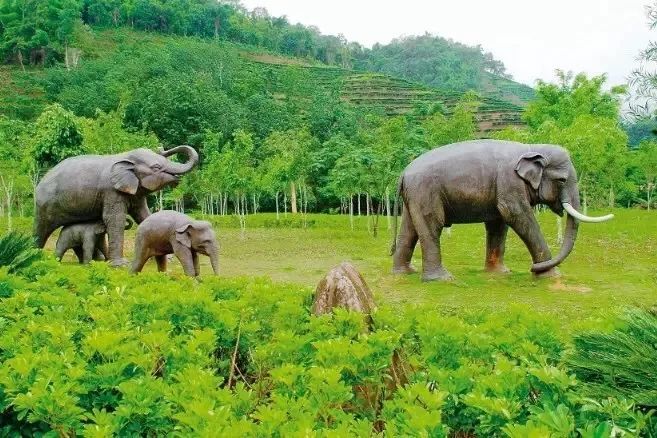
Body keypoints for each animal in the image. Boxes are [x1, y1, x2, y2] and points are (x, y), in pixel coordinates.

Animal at [390, 140, 608, 284]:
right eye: (562, 180)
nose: (532, 268)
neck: (530, 148)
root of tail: (403, 173)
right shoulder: (509, 182)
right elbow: (515, 214)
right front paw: (550, 275)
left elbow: (499, 222)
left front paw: (501, 273)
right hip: (425, 192)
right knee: (432, 226)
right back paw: (442, 279)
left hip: (414, 196)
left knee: (409, 230)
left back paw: (405, 272)